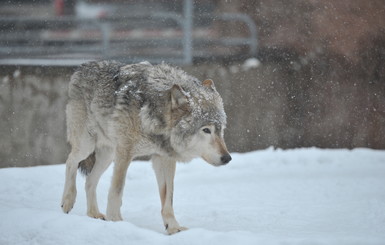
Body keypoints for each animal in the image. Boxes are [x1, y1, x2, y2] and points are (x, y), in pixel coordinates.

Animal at [60, 60, 231, 234]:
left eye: (221, 130)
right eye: (206, 130)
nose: (227, 158)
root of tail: (83, 66)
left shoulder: (164, 158)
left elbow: (168, 197)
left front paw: (173, 227)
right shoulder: (125, 152)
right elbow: (116, 190)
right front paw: (116, 221)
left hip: (107, 156)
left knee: (89, 181)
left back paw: (94, 213)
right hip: (87, 146)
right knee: (71, 161)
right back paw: (68, 200)